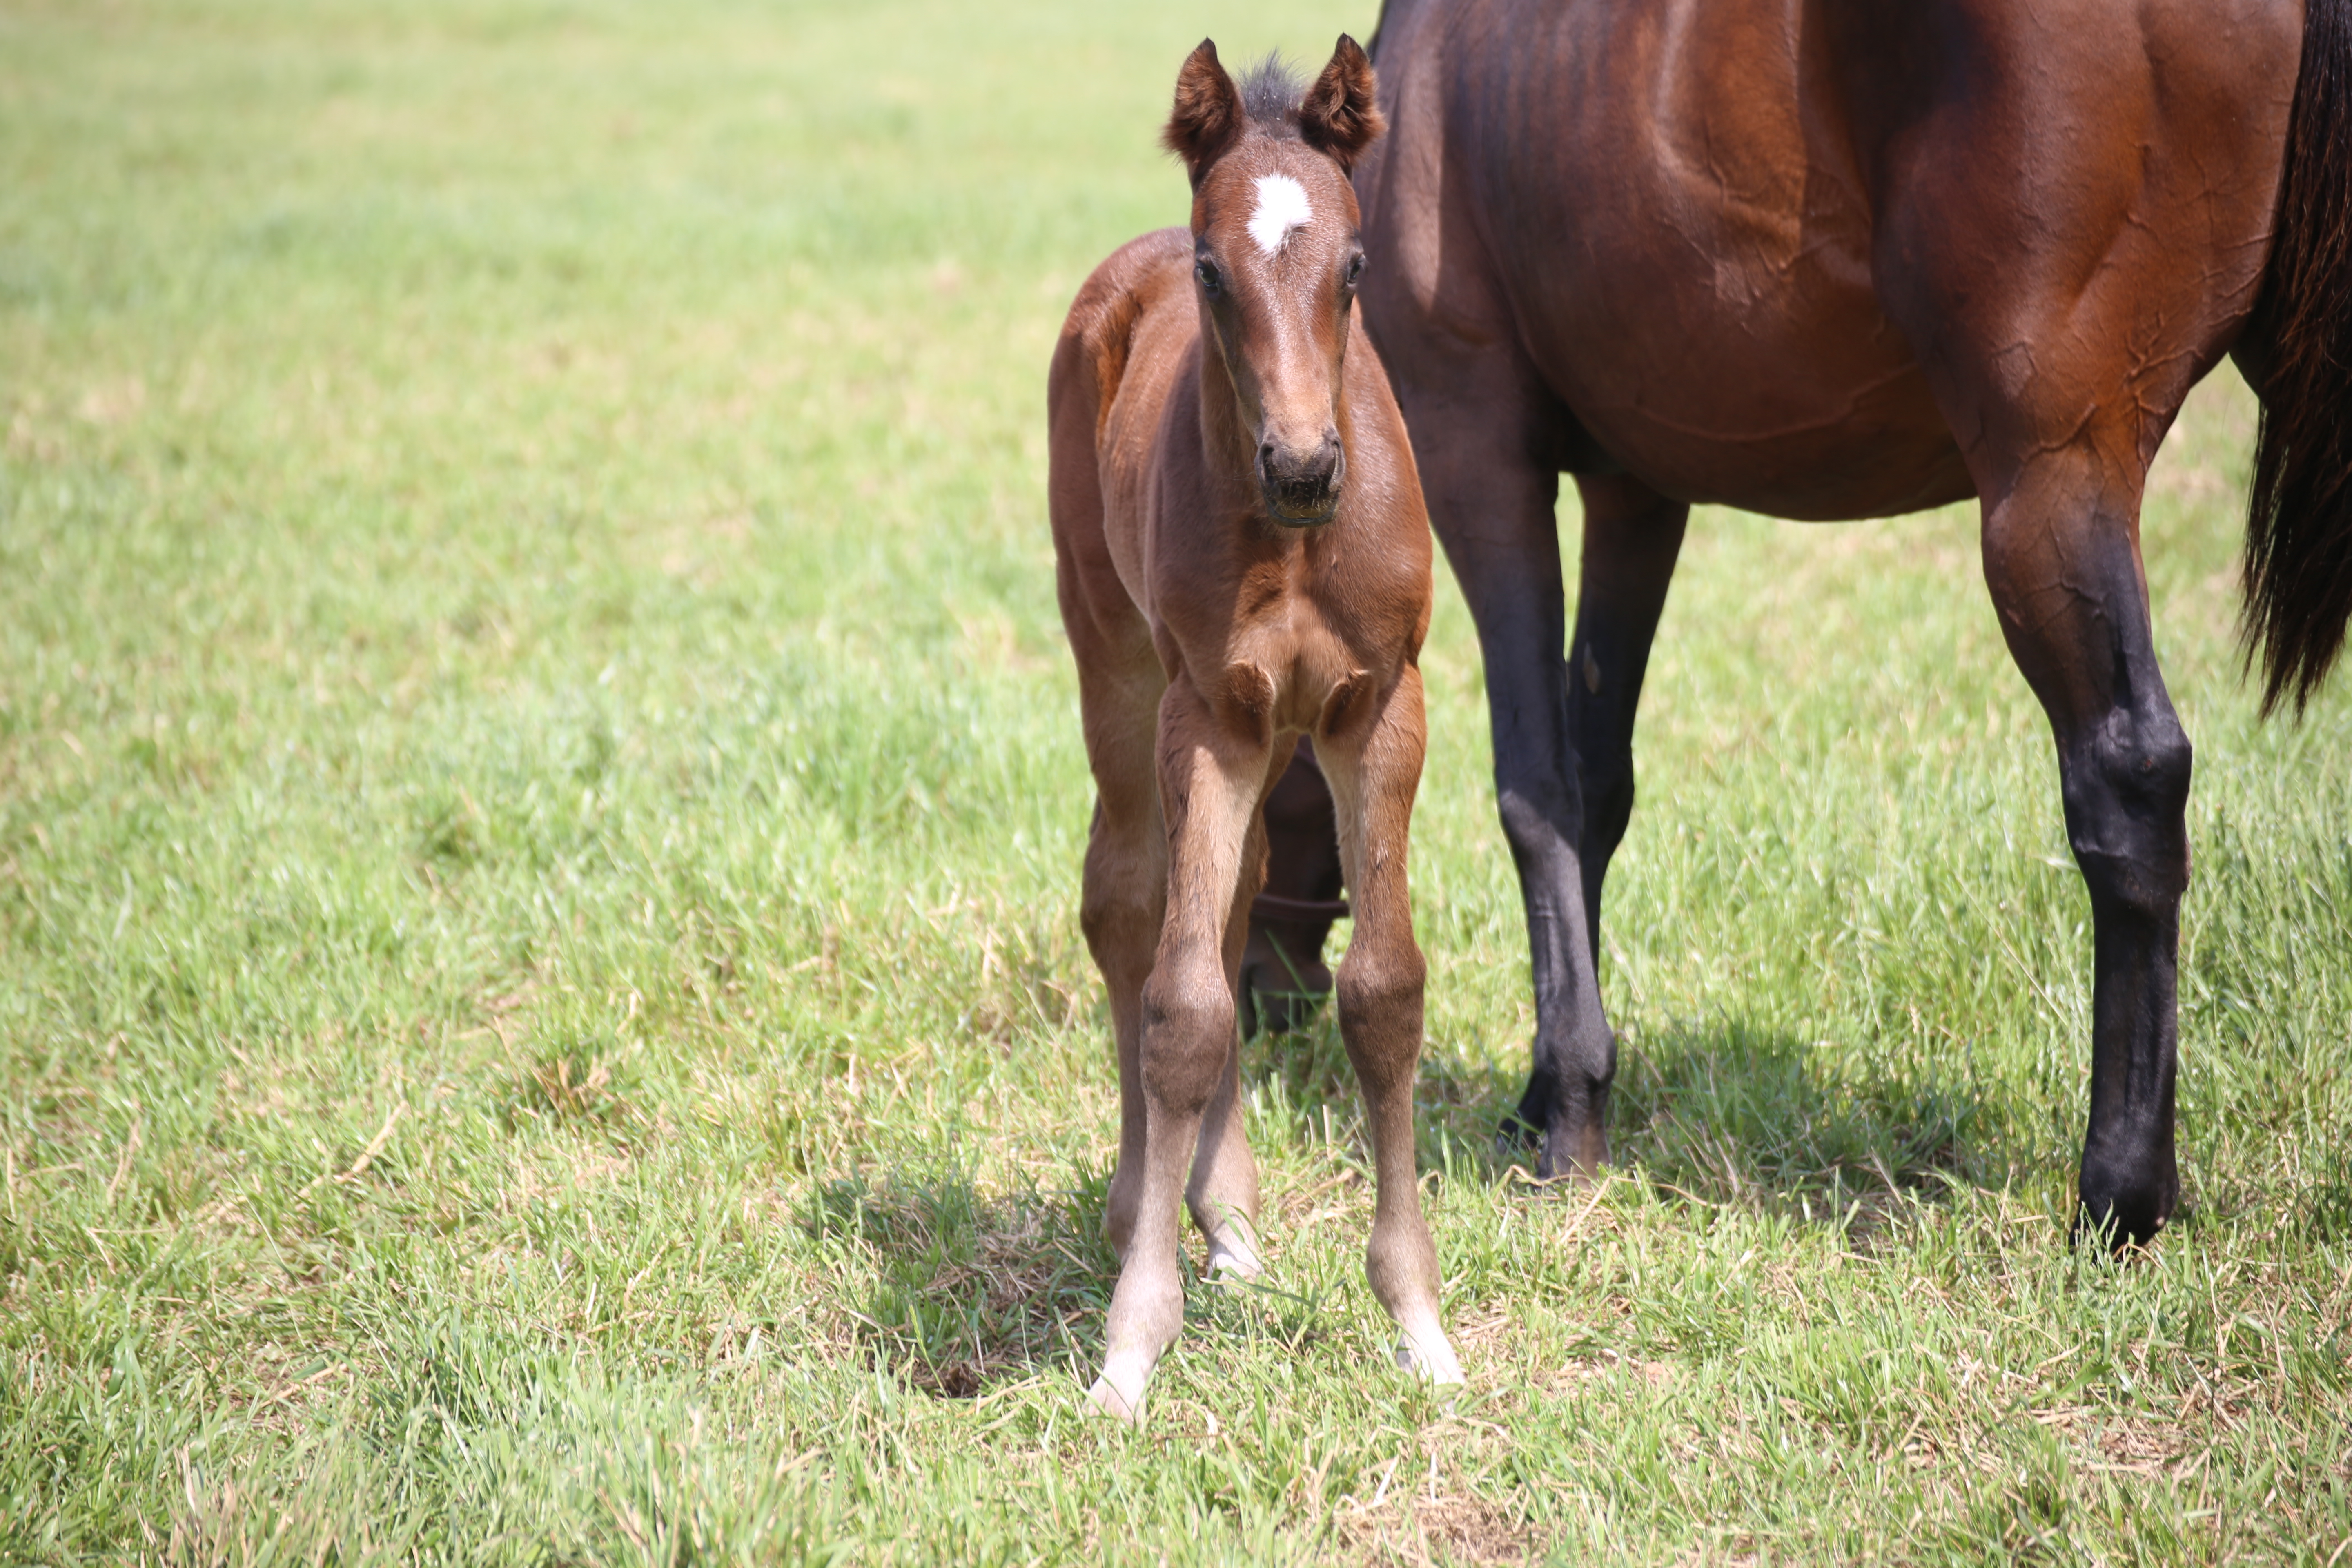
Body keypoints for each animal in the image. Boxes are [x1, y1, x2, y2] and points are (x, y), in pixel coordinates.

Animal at [1044, 43, 1449, 1429]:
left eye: (1358, 264)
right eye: (1214, 271)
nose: (1305, 466)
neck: (1296, 543)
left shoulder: (1377, 708)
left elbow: (1381, 989)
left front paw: (1421, 1321)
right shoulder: (1208, 713)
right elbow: (1181, 1006)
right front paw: (1130, 1344)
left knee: (1233, 901)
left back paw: (1226, 1217)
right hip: (1117, 663)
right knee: (1128, 901)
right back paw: (1149, 1208)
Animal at [1251, 0, 2352, 1250]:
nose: (1255, 997)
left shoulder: (1476, 453)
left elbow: (1536, 792)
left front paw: (1567, 1114)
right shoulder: (1638, 491)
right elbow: (1597, 786)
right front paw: (1548, 1080)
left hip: (2050, 476)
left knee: (2128, 779)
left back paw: (2117, 1194)